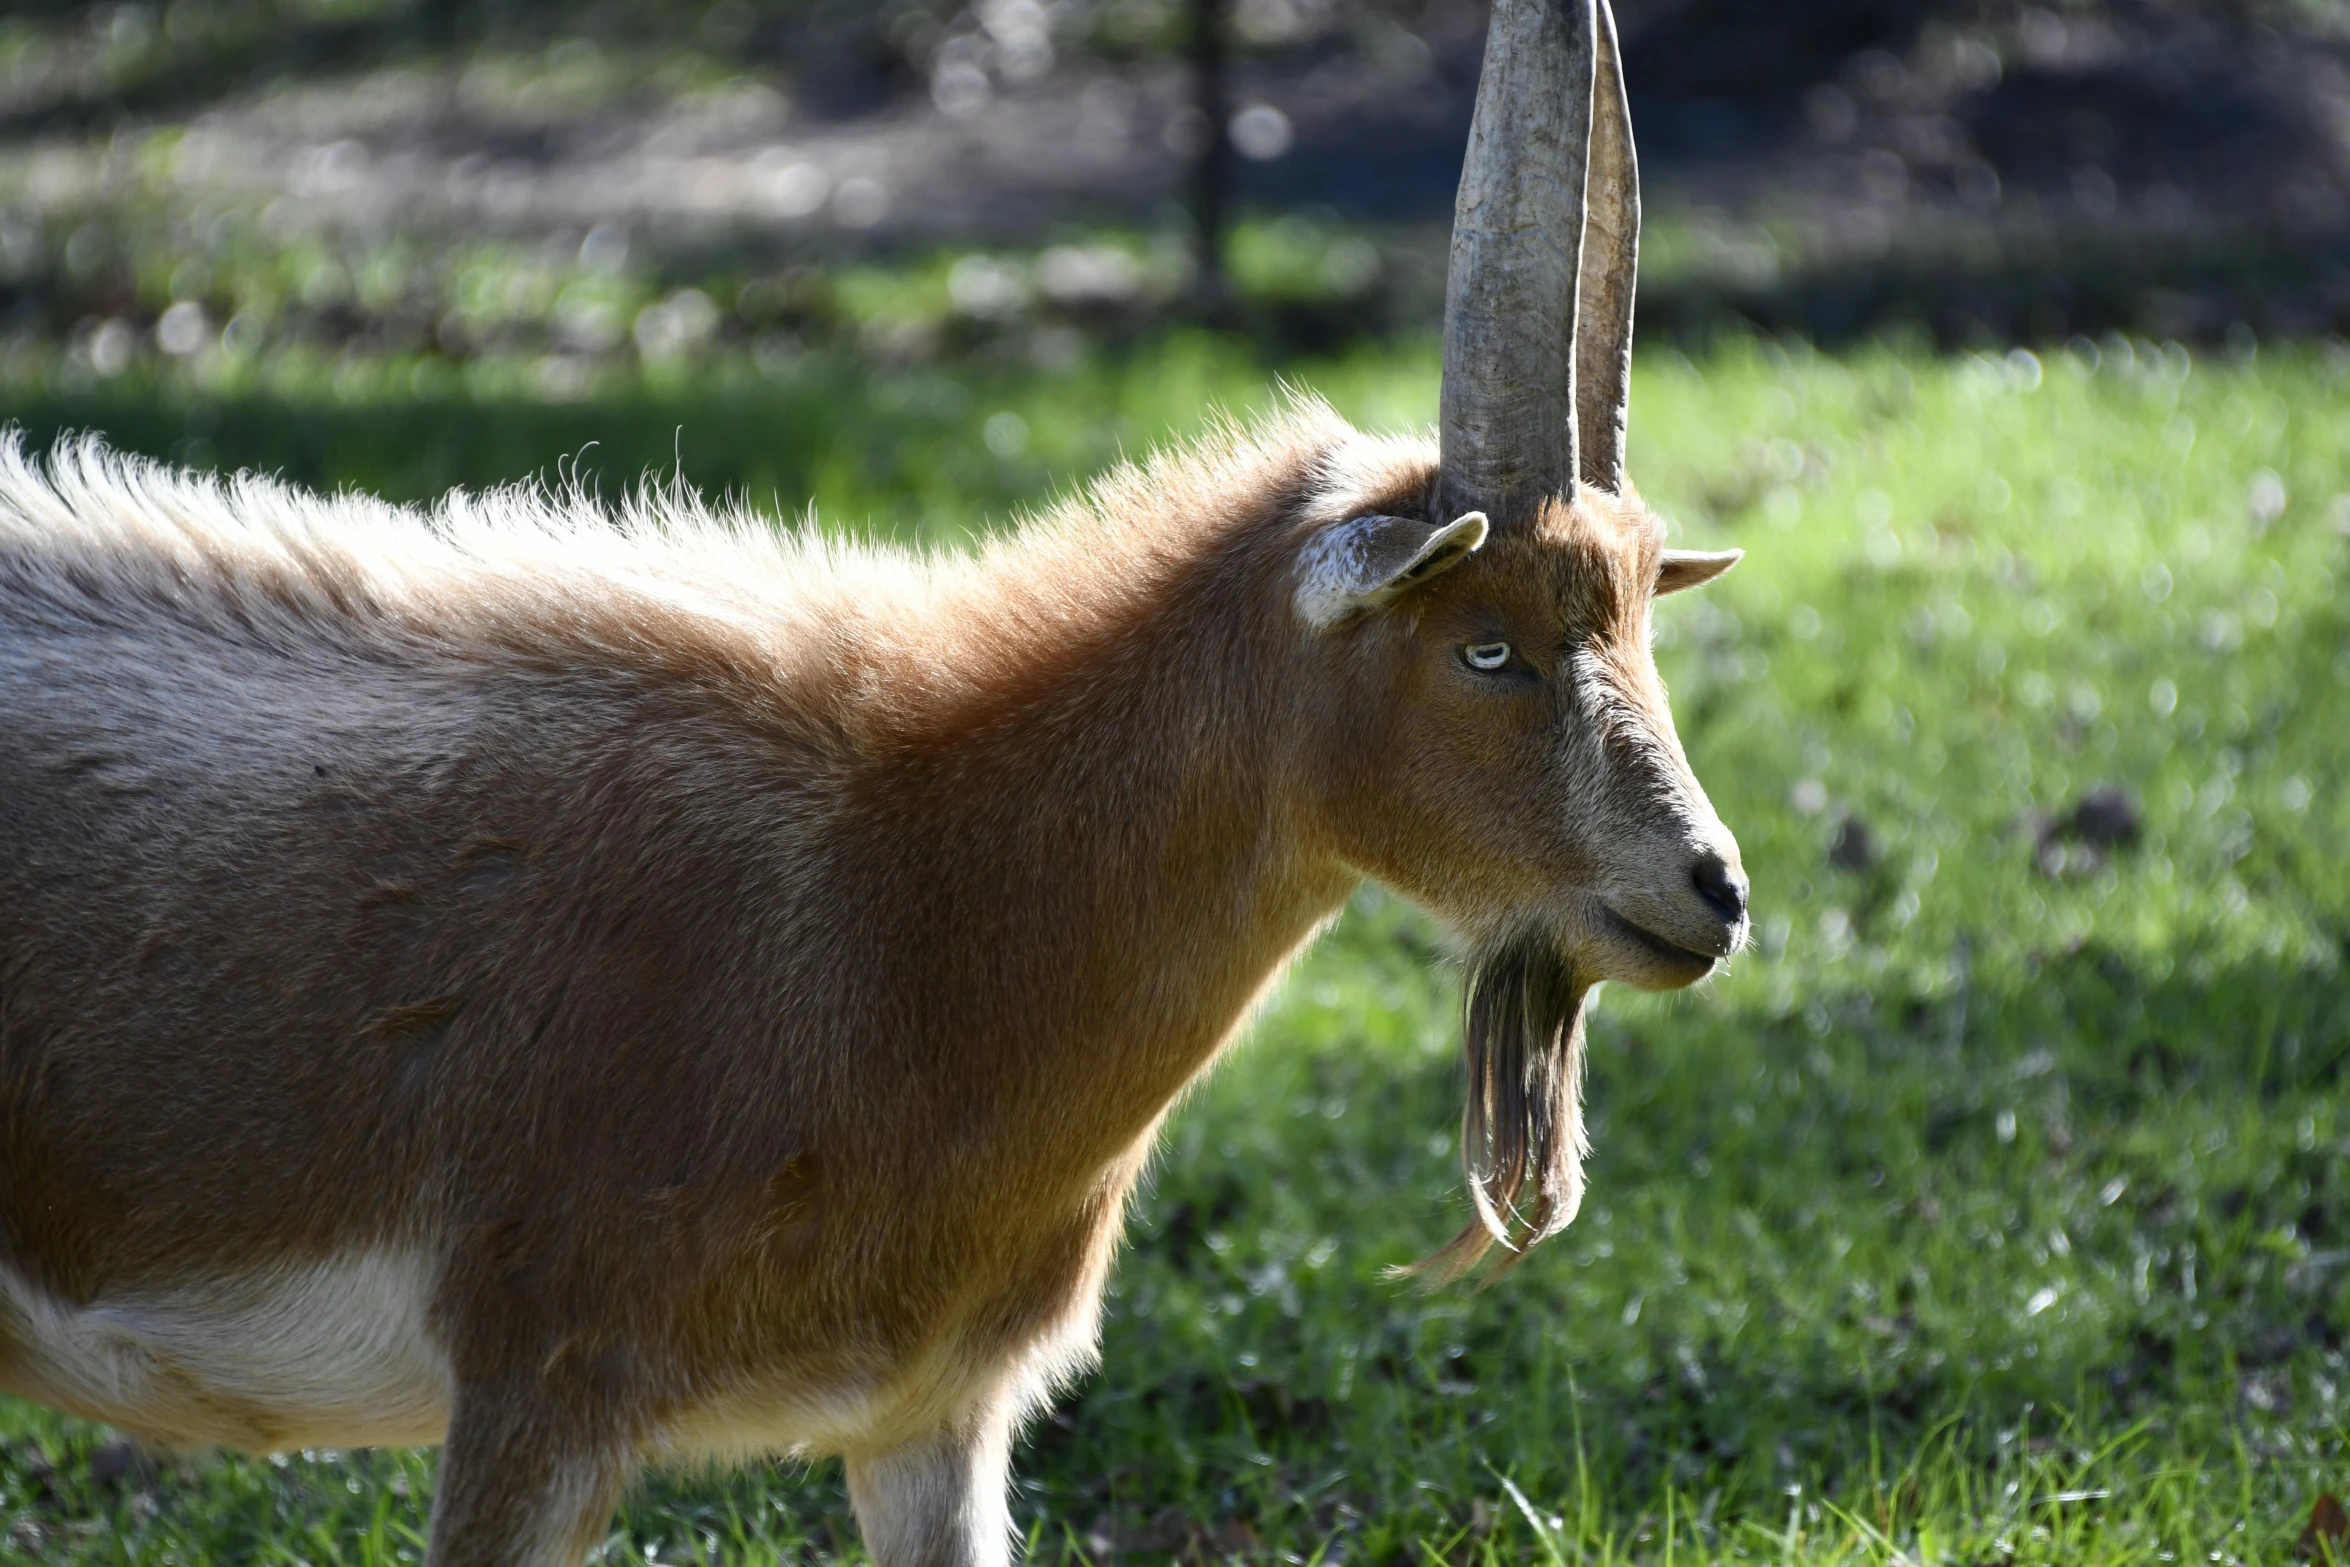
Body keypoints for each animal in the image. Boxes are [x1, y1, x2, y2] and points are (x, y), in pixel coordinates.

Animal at [0, 0, 1748, 1559]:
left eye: (1637, 605)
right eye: (1483, 644)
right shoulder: (536, 1392)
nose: (1708, 891)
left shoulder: (930, 1418)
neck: (898, 885)